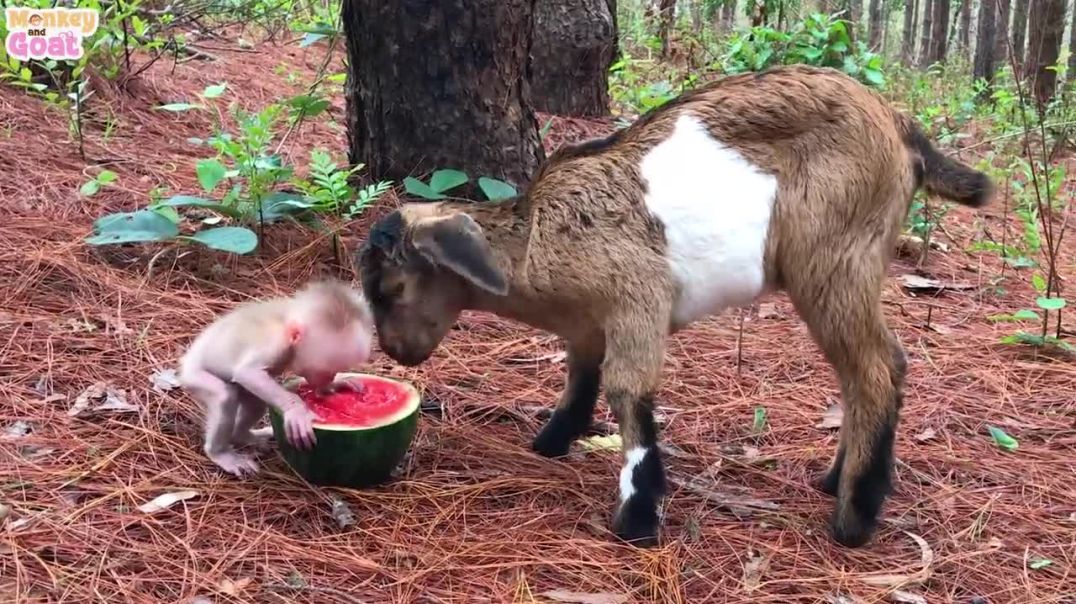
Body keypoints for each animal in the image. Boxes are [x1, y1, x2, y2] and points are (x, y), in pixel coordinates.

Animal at [178, 280, 374, 477]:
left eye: (335, 371)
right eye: (326, 371)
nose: (331, 377)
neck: (288, 319)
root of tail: (185, 361)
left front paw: (334, 385)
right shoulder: (274, 344)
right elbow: (248, 373)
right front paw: (297, 410)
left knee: (255, 403)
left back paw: (244, 436)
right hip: (194, 375)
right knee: (224, 396)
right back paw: (219, 453)